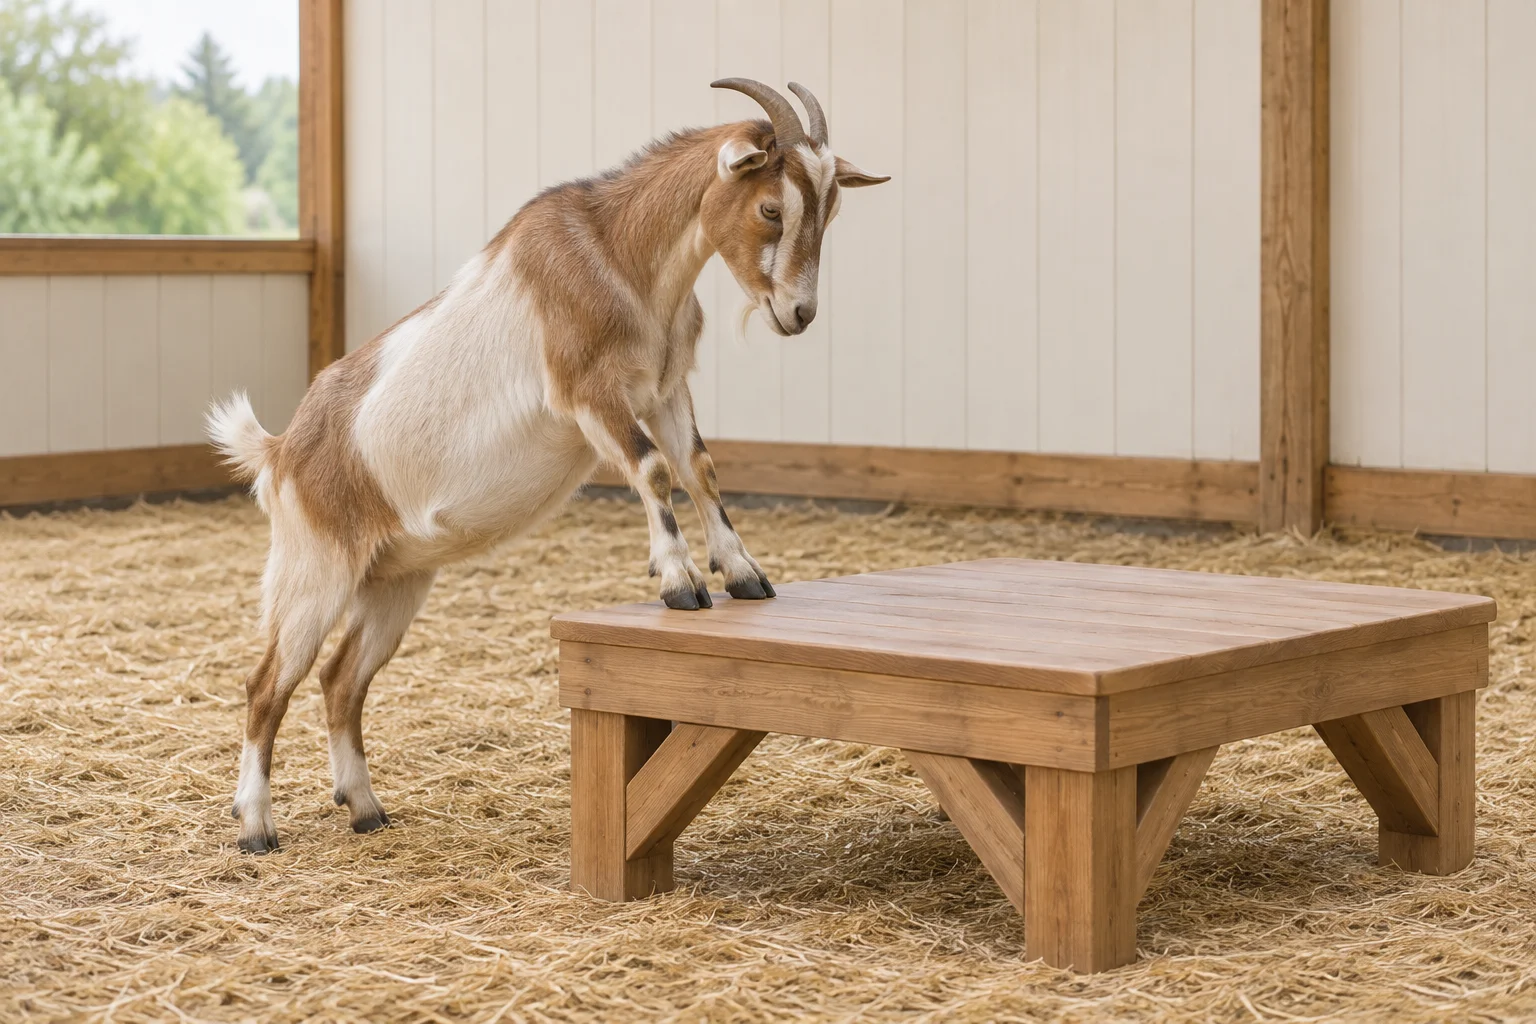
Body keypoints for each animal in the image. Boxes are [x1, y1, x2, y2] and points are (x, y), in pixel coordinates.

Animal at [206, 79, 889, 853]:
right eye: (772, 207)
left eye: (830, 210)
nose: (797, 313)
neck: (619, 257)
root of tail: (282, 452)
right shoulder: (590, 393)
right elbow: (653, 470)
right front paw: (680, 583)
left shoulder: (665, 389)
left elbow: (699, 467)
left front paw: (743, 574)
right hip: (313, 570)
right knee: (268, 685)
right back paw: (256, 826)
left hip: (394, 582)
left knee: (340, 680)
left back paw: (365, 807)